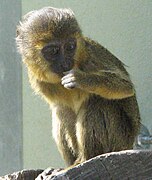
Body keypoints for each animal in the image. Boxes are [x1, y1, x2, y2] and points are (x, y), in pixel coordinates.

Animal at [15, 6, 140, 168]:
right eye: (53, 51)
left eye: (70, 47)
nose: (66, 63)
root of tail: (129, 143)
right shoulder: (39, 81)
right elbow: (64, 109)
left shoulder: (91, 58)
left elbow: (126, 87)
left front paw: (84, 80)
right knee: (62, 110)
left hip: (119, 140)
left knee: (96, 103)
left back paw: (86, 158)